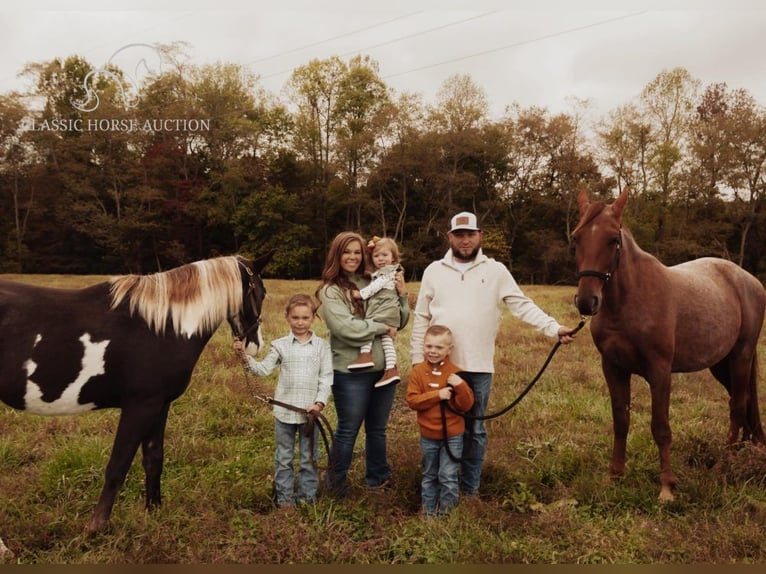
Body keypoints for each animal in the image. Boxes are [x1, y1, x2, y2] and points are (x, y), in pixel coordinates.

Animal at [0, 253, 272, 560]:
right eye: (261, 292)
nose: (255, 345)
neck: (163, 327)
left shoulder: (159, 405)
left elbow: (153, 459)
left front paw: (153, 513)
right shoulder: (139, 408)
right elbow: (117, 467)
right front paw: (95, 529)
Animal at [572, 190, 764, 504]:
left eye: (613, 239)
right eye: (577, 238)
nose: (587, 302)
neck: (628, 301)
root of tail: (749, 280)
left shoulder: (660, 372)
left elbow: (660, 427)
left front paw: (666, 487)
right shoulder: (613, 368)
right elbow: (620, 420)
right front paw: (615, 476)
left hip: (741, 355)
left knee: (737, 406)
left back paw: (724, 464)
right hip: (720, 364)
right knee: (743, 403)